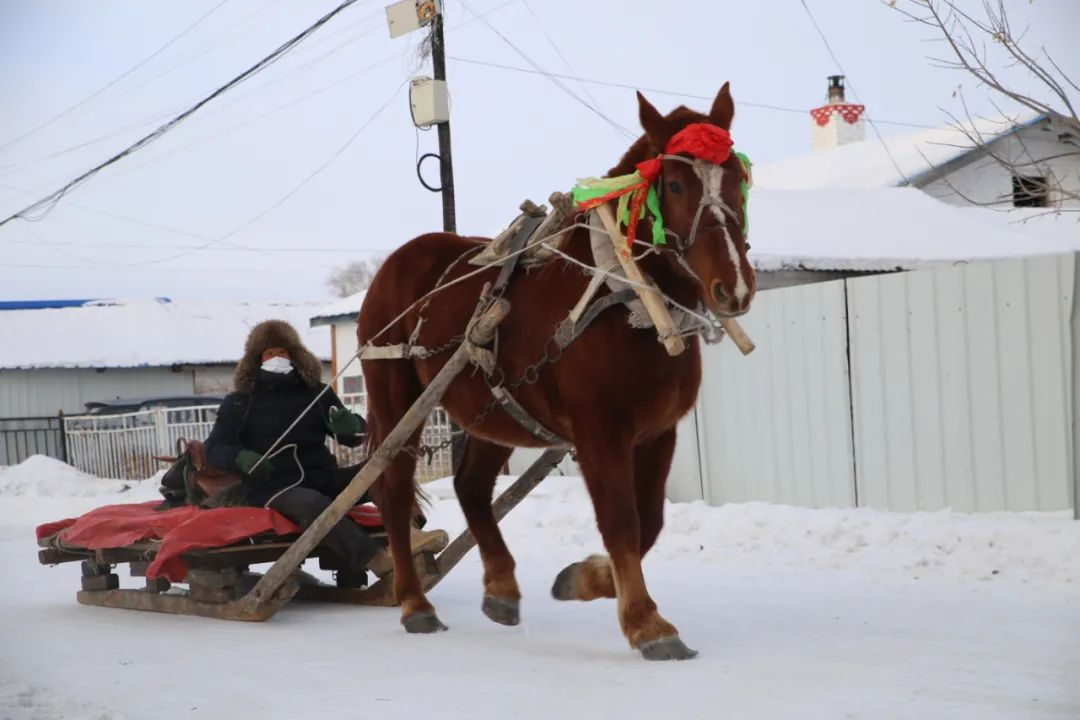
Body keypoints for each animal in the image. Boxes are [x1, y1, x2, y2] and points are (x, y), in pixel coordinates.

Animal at [358, 81, 756, 660]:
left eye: (738, 178)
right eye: (676, 183)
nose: (735, 286)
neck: (625, 298)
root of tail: (397, 261)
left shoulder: (658, 432)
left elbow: (650, 521)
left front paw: (587, 580)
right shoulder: (598, 431)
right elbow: (622, 519)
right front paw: (647, 623)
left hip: (494, 407)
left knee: (471, 485)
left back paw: (501, 586)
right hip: (397, 401)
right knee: (393, 491)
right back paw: (414, 602)